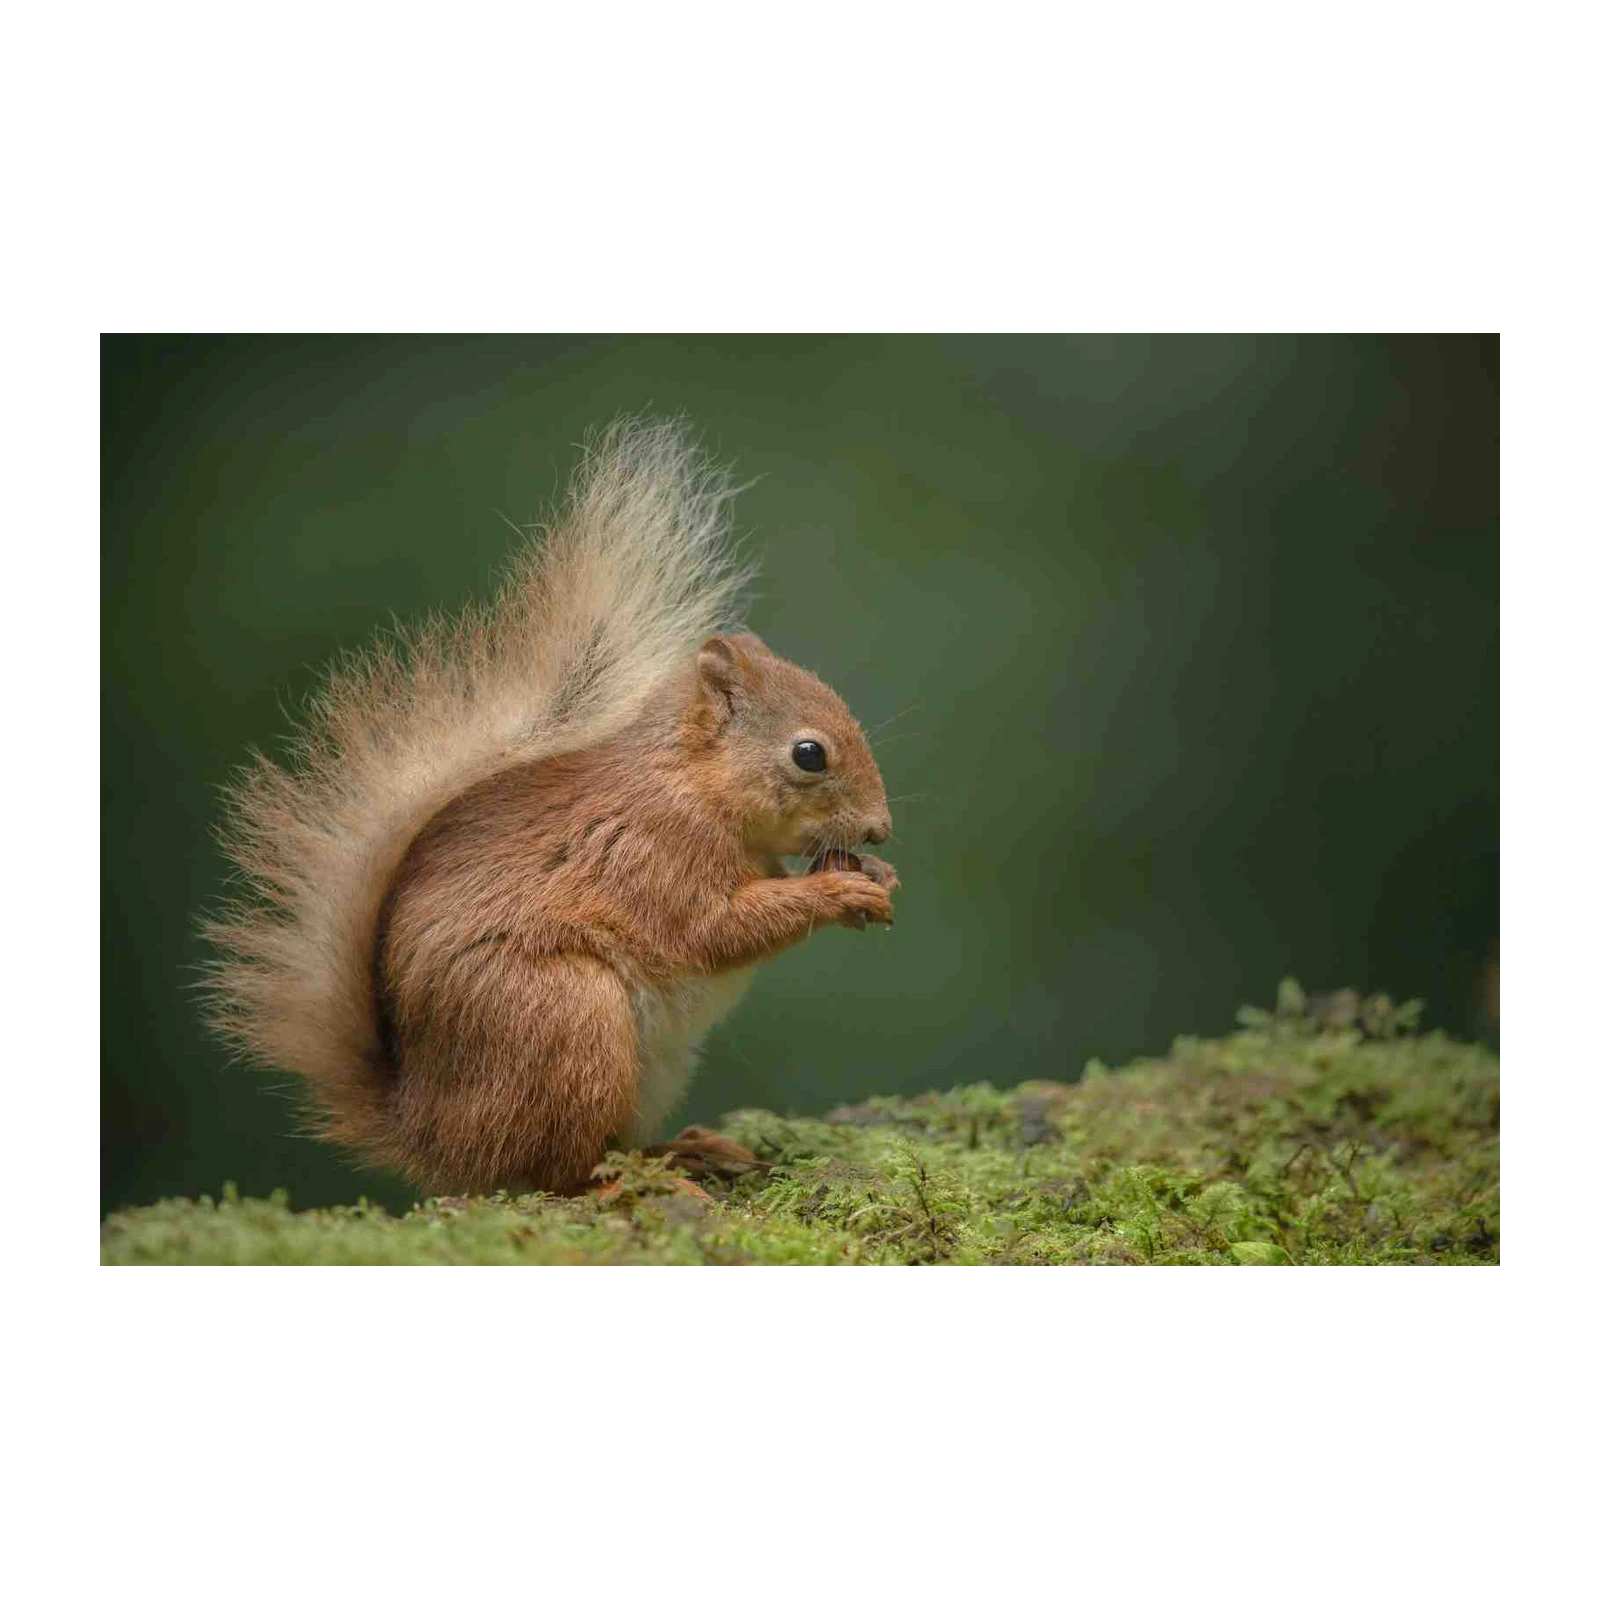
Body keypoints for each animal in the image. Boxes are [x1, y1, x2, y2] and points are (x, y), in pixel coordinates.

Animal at [201, 418, 899, 1197]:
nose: (881, 829)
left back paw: (682, 1152)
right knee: (551, 1172)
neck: (694, 785)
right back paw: (628, 1182)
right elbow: (712, 929)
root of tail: (430, 1135)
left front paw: (877, 879)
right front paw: (838, 891)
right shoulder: (650, 850)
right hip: (566, 1019)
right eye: (809, 754)